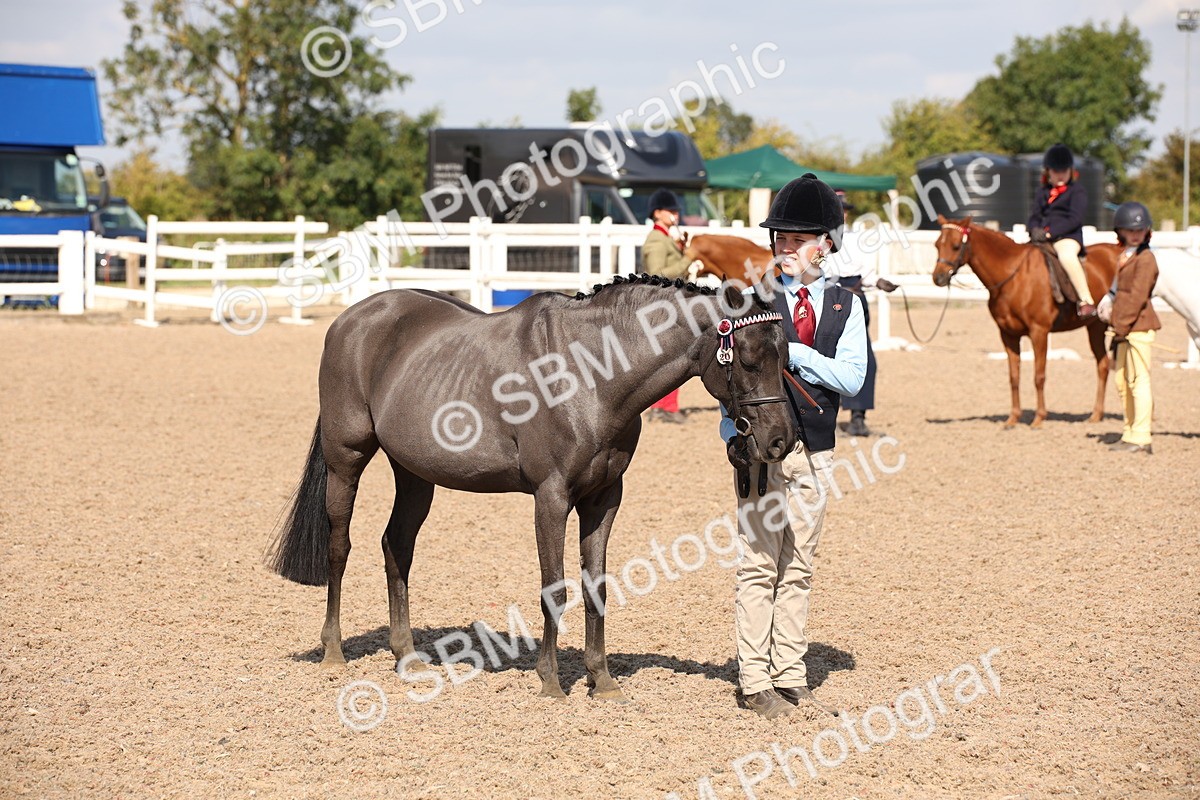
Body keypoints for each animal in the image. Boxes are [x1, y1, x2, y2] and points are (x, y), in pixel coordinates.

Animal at [266, 275, 796, 701]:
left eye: (786, 359)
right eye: (749, 361)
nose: (781, 440)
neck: (590, 373)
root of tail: (351, 319)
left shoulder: (604, 499)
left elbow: (596, 586)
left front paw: (602, 681)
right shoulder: (552, 498)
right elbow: (554, 588)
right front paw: (551, 681)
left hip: (414, 475)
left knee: (396, 546)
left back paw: (407, 655)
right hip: (346, 461)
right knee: (339, 545)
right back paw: (333, 650)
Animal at [932, 215, 1120, 427]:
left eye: (956, 246)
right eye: (937, 244)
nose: (938, 278)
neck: (1013, 276)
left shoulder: (1039, 332)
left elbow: (1039, 376)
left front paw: (1039, 418)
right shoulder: (1008, 335)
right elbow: (1014, 376)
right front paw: (1012, 418)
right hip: (1095, 327)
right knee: (1103, 365)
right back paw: (1096, 415)